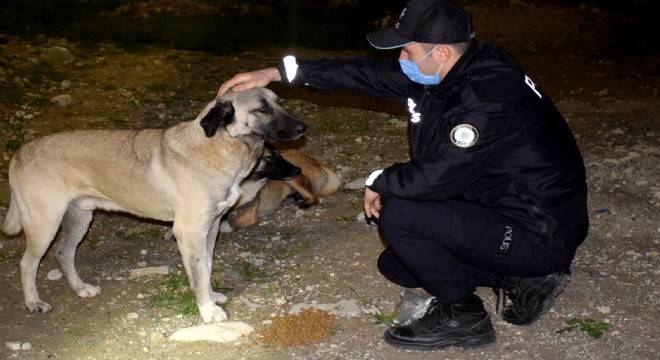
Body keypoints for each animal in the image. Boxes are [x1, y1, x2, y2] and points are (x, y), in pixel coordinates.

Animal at [1, 88, 306, 324]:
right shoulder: (190, 232)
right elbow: (198, 275)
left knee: (64, 254)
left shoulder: (211, 229)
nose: (304, 128)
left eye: (279, 102)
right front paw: (208, 311)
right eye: (262, 108)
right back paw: (33, 302)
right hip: (45, 224)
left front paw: (211, 297)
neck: (220, 146)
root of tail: (20, 153)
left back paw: (80, 289)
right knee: (27, 263)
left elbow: (206, 269)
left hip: (79, 218)